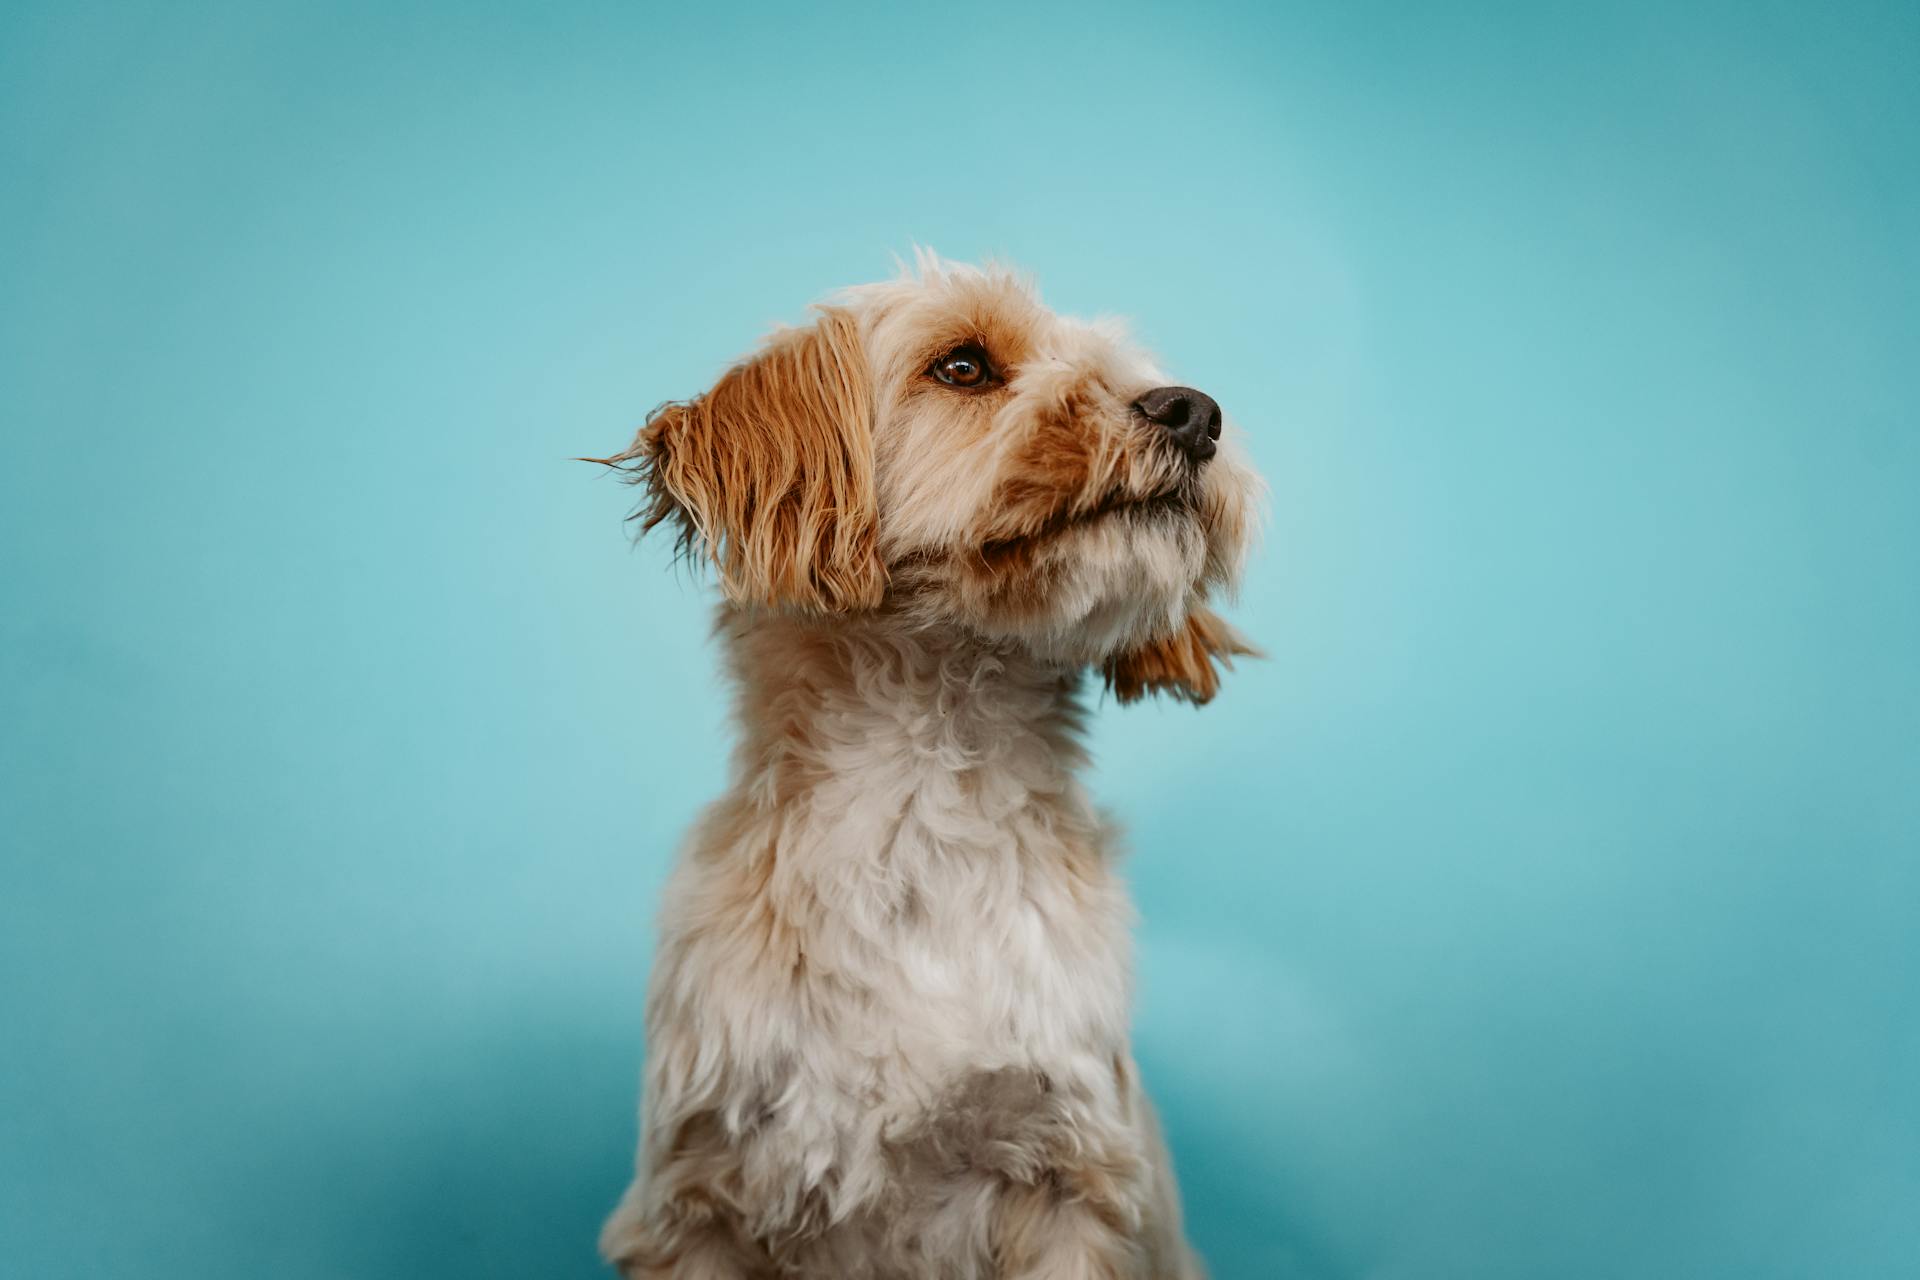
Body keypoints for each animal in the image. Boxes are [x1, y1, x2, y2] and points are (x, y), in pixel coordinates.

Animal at [595, 255, 1259, 1274]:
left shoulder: (1071, 1178)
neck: (923, 798)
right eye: (963, 366)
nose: (1194, 410)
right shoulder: (697, 1202)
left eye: (1127, 368)